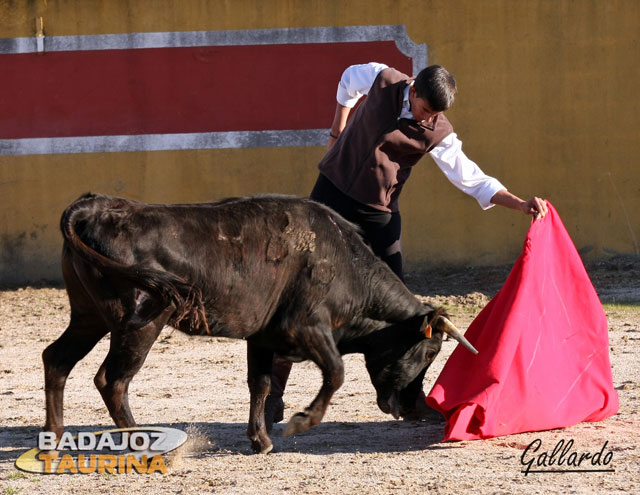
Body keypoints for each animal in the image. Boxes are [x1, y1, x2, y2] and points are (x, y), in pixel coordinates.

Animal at [43, 193, 476, 454]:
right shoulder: (307, 327)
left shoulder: (263, 338)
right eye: (428, 352)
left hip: (89, 316)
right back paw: (144, 442)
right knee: (112, 380)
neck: (347, 268)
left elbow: (261, 384)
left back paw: (54, 436)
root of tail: (97, 207)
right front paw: (300, 423)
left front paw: (261, 440)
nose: (414, 407)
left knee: (57, 359)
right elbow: (335, 372)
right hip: (140, 320)